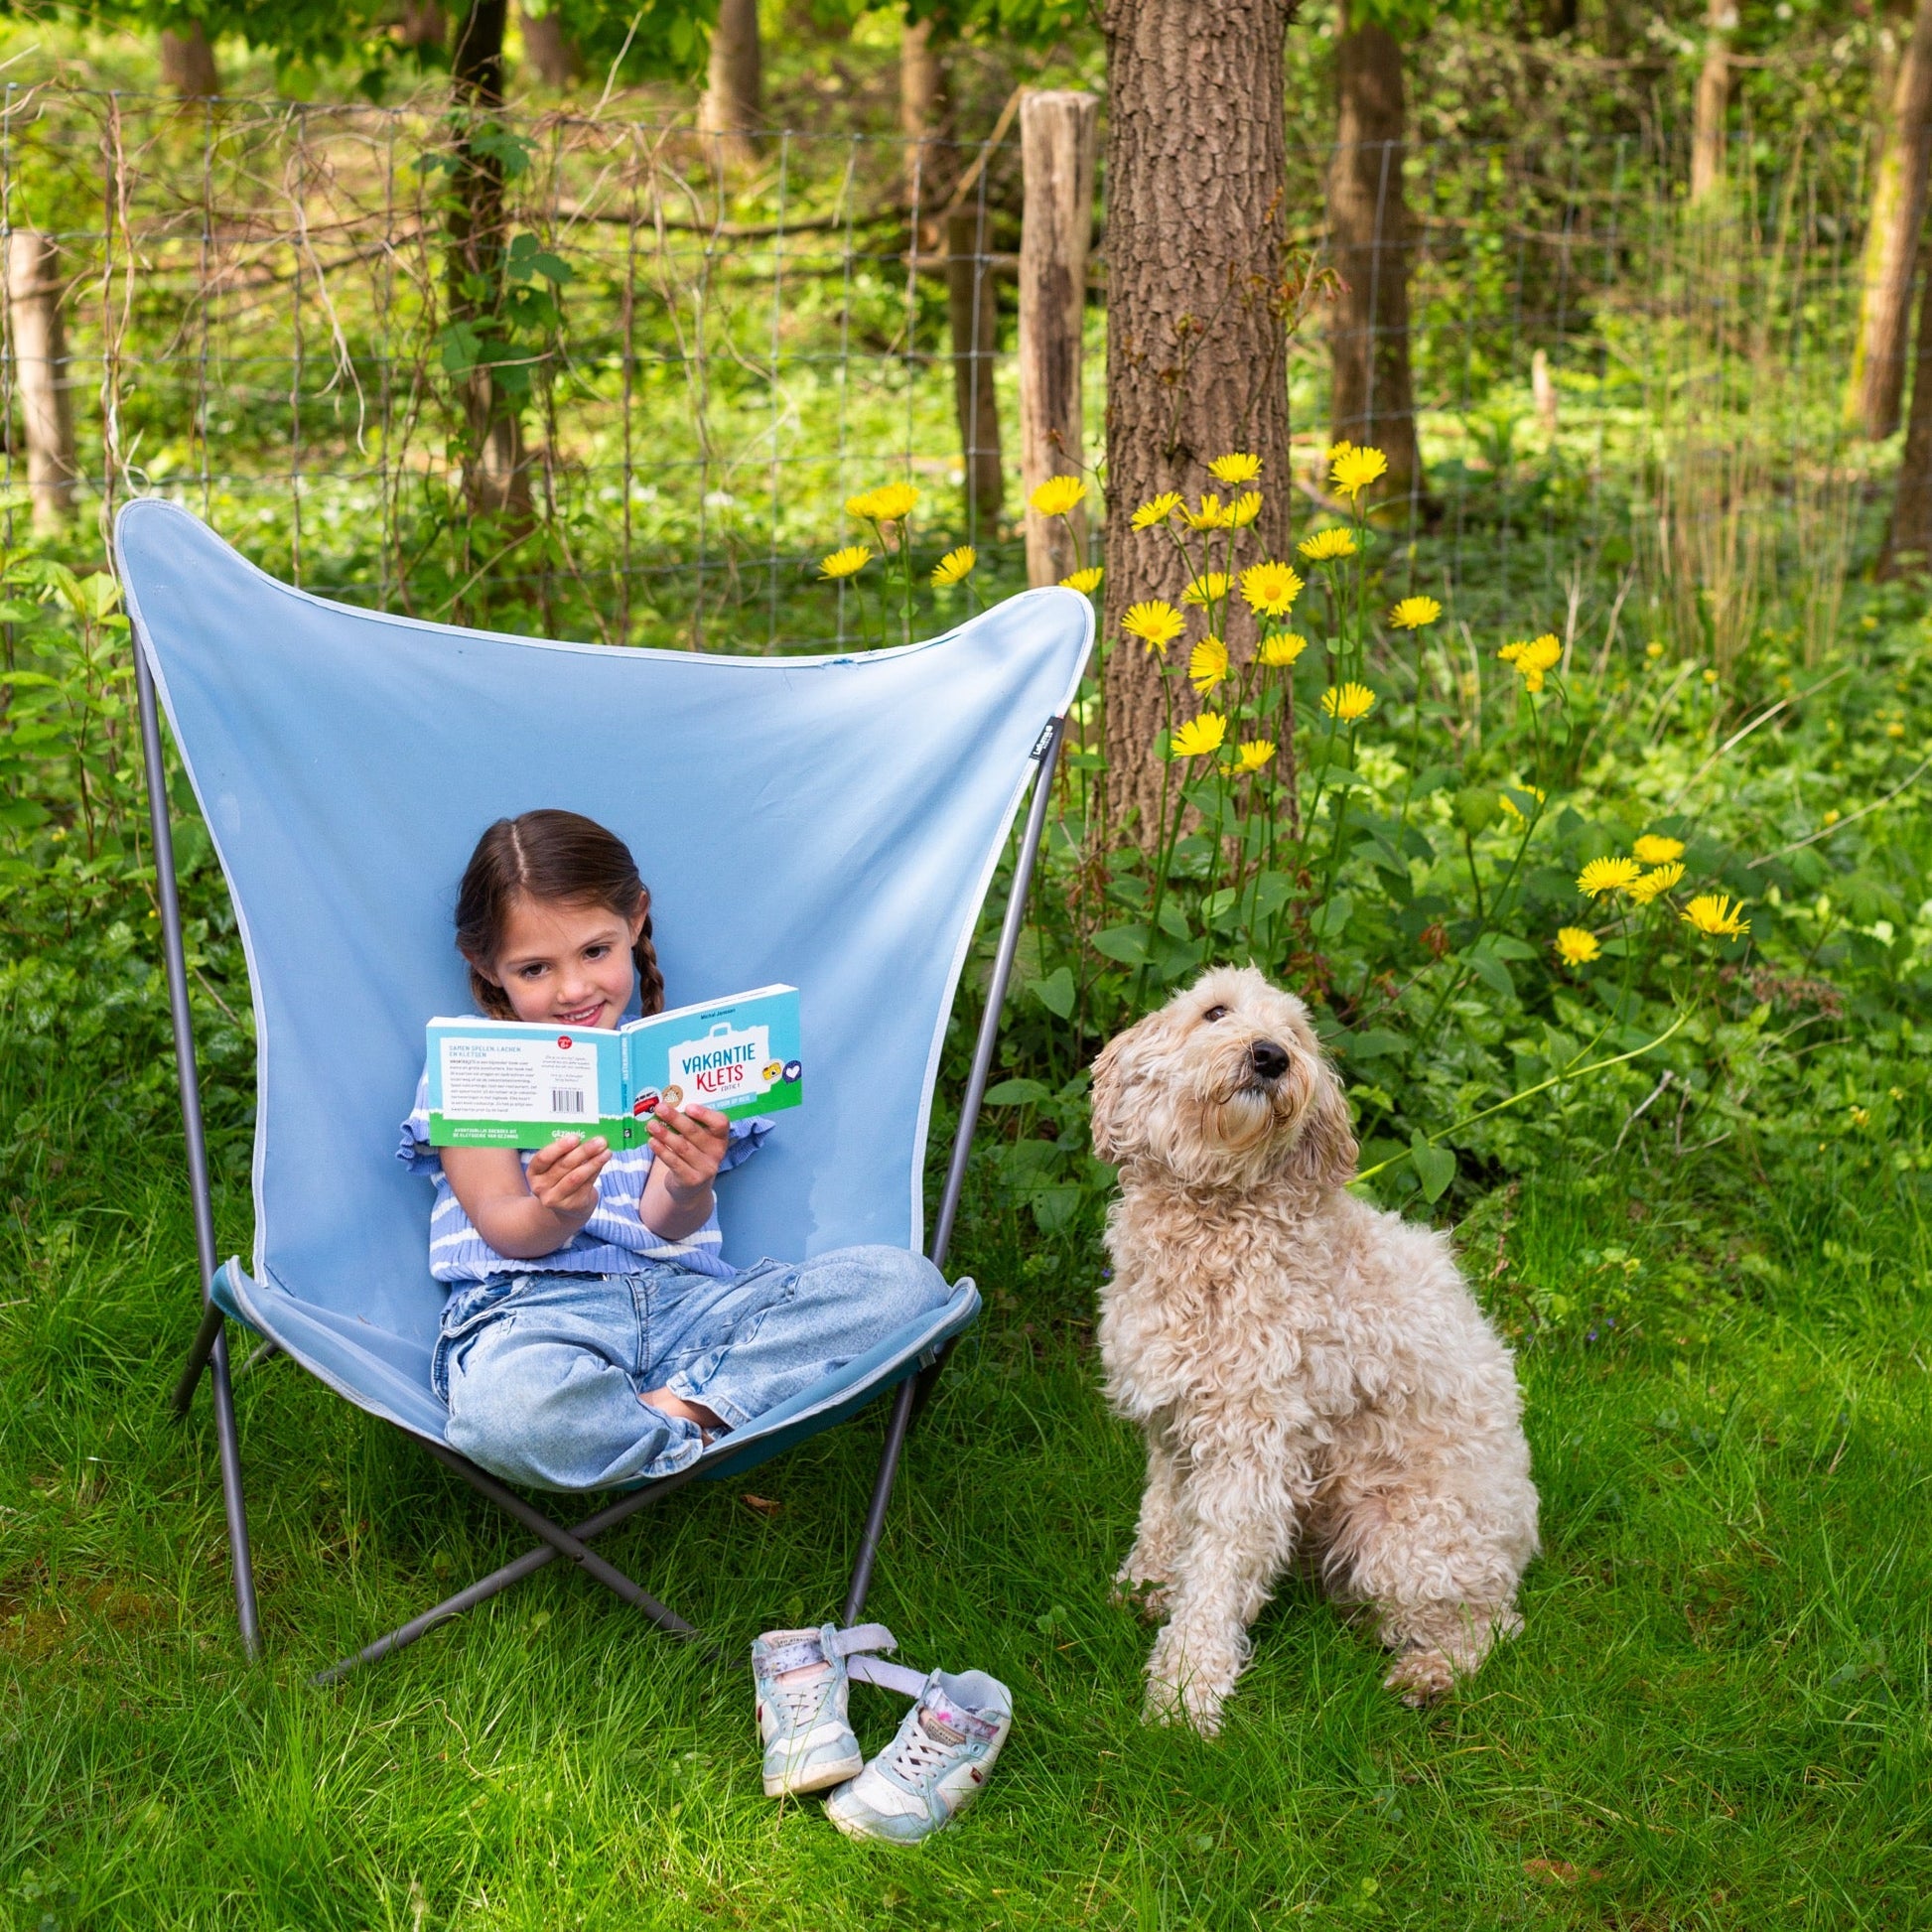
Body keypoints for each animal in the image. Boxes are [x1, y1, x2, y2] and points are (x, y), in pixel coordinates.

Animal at [1105, 966, 1538, 1738]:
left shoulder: (1252, 1450)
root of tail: (1522, 1539)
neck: (1218, 1219)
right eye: (1215, 1012)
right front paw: (1147, 1582)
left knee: (1489, 1624)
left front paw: (1184, 1694)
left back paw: (1429, 1674)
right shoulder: (1173, 1425)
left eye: (1298, 1033)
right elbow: (1162, 1514)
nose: (1271, 1056)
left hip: (1402, 1539)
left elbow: (1216, 1577)